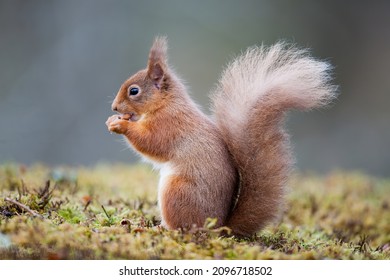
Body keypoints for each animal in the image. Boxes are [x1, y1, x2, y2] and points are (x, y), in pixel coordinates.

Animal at [105, 36, 336, 236]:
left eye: (134, 91)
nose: (114, 107)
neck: (166, 103)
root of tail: (218, 227)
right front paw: (112, 120)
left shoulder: (169, 125)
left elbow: (151, 143)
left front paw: (120, 124)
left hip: (177, 192)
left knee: (183, 229)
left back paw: (158, 229)